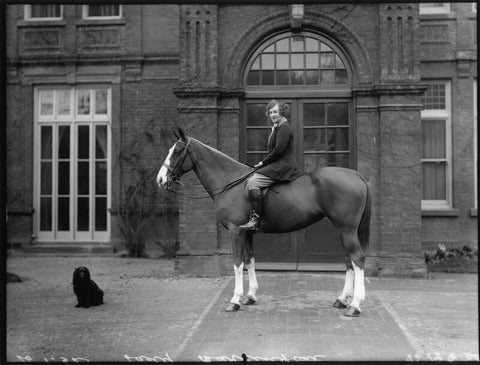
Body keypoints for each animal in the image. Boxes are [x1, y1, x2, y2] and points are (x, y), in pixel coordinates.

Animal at [158, 128, 372, 316]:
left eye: (178, 151)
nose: (160, 179)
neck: (231, 181)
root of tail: (355, 174)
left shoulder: (236, 231)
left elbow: (237, 263)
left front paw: (234, 301)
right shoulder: (247, 233)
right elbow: (249, 260)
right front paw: (250, 296)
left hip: (347, 230)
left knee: (357, 259)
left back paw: (355, 305)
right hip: (343, 230)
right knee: (349, 260)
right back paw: (342, 300)